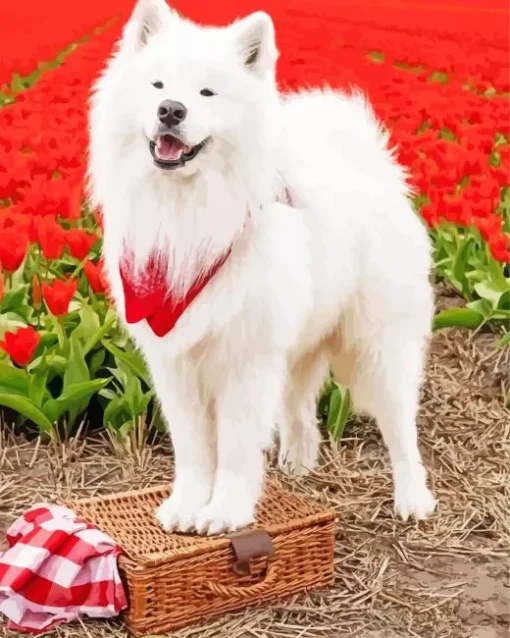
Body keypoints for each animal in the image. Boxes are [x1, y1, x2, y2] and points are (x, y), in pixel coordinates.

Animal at [88, 0, 438, 536]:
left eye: (207, 93)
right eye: (158, 85)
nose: (171, 110)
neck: (188, 211)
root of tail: (373, 166)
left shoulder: (244, 361)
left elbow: (234, 449)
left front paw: (225, 512)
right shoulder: (176, 362)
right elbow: (193, 450)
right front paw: (186, 505)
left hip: (378, 346)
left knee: (400, 425)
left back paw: (412, 498)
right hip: (300, 343)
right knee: (299, 405)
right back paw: (298, 460)